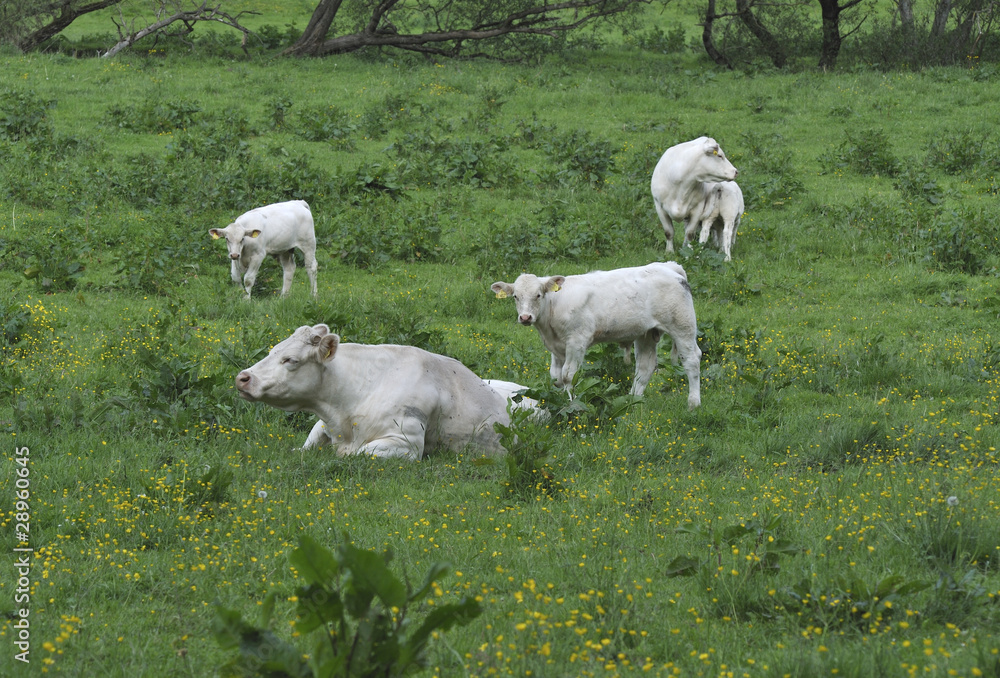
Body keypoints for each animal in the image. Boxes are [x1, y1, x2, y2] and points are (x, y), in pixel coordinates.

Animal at [235, 323, 533, 459]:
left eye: (291, 360)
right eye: (273, 350)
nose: (243, 378)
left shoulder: (406, 443)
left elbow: (357, 453)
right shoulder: (324, 423)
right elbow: (305, 445)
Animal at [491, 262, 701, 409]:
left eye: (538, 295)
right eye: (516, 296)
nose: (525, 317)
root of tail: (669, 267)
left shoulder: (577, 341)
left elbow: (568, 376)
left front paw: (571, 404)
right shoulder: (556, 346)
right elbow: (556, 377)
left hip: (682, 325)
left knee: (692, 360)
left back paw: (693, 403)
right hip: (646, 333)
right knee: (645, 367)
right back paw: (631, 401)